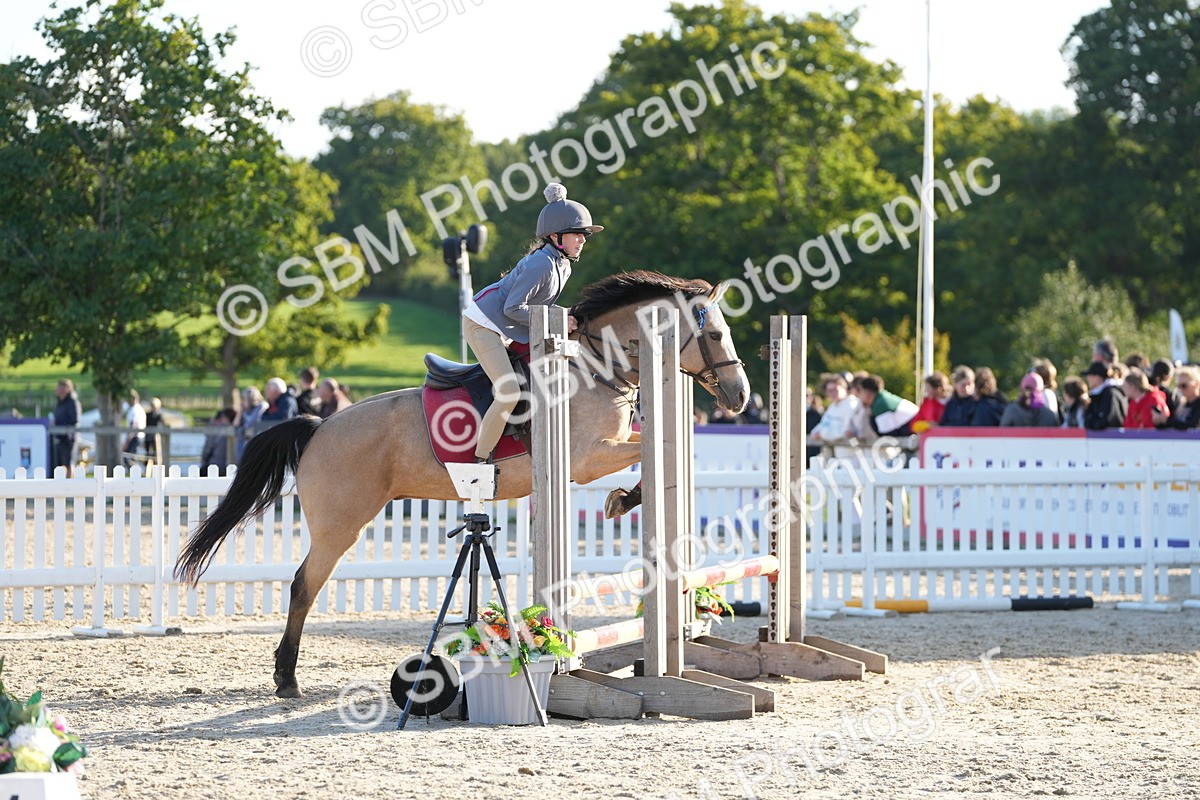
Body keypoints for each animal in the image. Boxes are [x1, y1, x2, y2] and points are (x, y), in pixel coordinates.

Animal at [175, 270, 750, 697]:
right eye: (714, 334)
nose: (740, 396)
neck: (595, 366)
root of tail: (319, 426)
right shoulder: (586, 459)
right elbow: (652, 453)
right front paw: (623, 498)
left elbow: (661, 449)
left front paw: (625, 496)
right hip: (341, 523)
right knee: (303, 585)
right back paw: (287, 678)